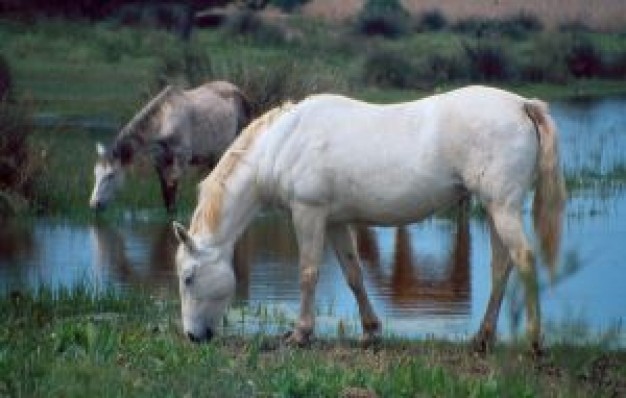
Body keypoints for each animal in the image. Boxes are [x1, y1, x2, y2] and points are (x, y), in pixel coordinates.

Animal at [89, 79, 250, 213]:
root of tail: (238, 90)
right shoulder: (160, 161)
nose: (94, 204)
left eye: (111, 175)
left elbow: (173, 189)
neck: (164, 121)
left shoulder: (181, 160)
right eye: (96, 173)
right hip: (214, 155)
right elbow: (165, 191)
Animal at [172, 84, 564, 352]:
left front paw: (300, 333)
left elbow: (308, 273)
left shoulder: (308, 214)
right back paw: (482, 338)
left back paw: (534, 339)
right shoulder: (335, 222)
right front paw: (371, 330)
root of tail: (522, 105)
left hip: (502, 208)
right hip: (498, 209)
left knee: (524, 259)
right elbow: (354, 275)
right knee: (502, 266)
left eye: (189, 278)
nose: (192, 336)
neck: (282, 143)